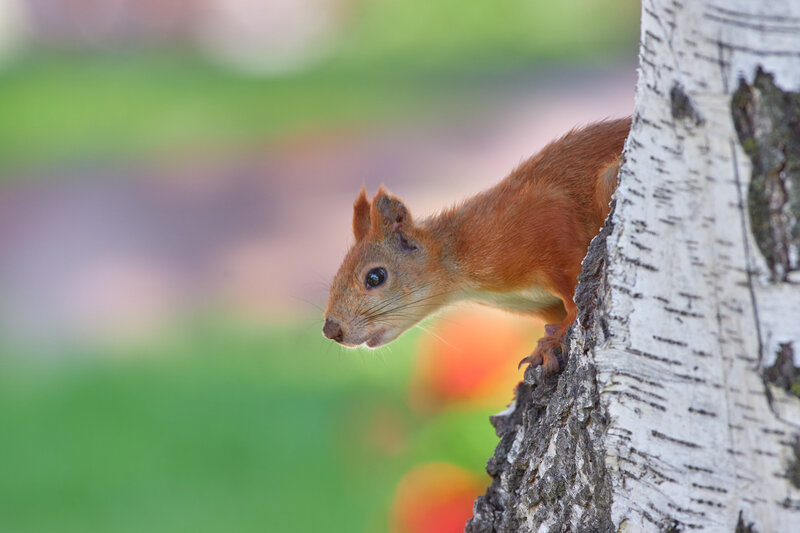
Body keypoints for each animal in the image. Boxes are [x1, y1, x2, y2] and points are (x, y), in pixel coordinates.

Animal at [322, 118, 630, 373]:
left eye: (375, 277)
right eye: (334, 278)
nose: (330, 331)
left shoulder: (548, 223)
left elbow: (574, 295)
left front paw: (552, 341)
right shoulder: (541, 304)